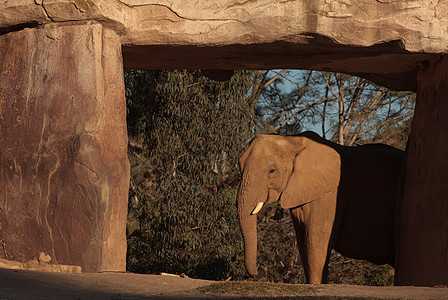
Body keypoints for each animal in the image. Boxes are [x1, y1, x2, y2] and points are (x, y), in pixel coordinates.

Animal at [236, 131, 404, 284]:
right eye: (239, 166)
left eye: (272, 171)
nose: (261, 270)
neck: (292, 140)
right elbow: (304, 244)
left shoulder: (330, 195)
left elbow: (315, 242)